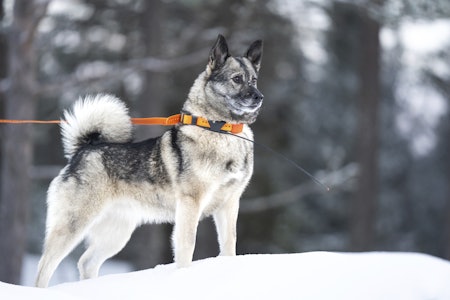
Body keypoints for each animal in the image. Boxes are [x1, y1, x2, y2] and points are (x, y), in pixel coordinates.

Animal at [36, 34, 264, 288]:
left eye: (254, 80)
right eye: (237, 79)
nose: (259, 97)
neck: (222, 130)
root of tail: (84, 148)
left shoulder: (229, 203)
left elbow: (229, 244)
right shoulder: (190, 203)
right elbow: (187, 246)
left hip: (117, 232)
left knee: (86, 262)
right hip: (74, 223)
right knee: (44, 267)